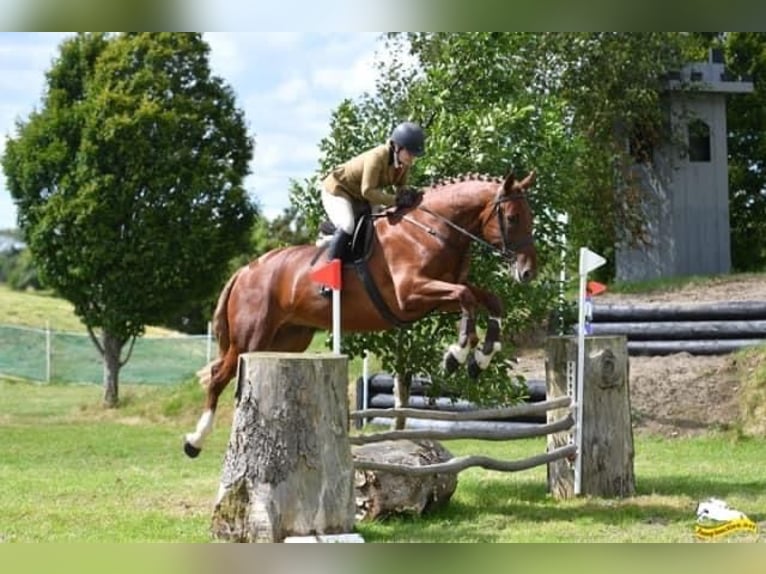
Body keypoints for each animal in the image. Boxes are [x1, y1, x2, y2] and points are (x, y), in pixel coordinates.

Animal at [183, 171, 536, 460]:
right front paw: (456, 355)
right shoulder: (410, 295)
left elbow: (488, 300)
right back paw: (194, 441)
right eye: (513, 217)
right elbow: (466, 298)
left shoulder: (434, 299)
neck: (432, 231)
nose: (528, 272)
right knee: (218, 376)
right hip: (251, 337)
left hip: (287, 339)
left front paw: (482, 358)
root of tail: (245, 270)